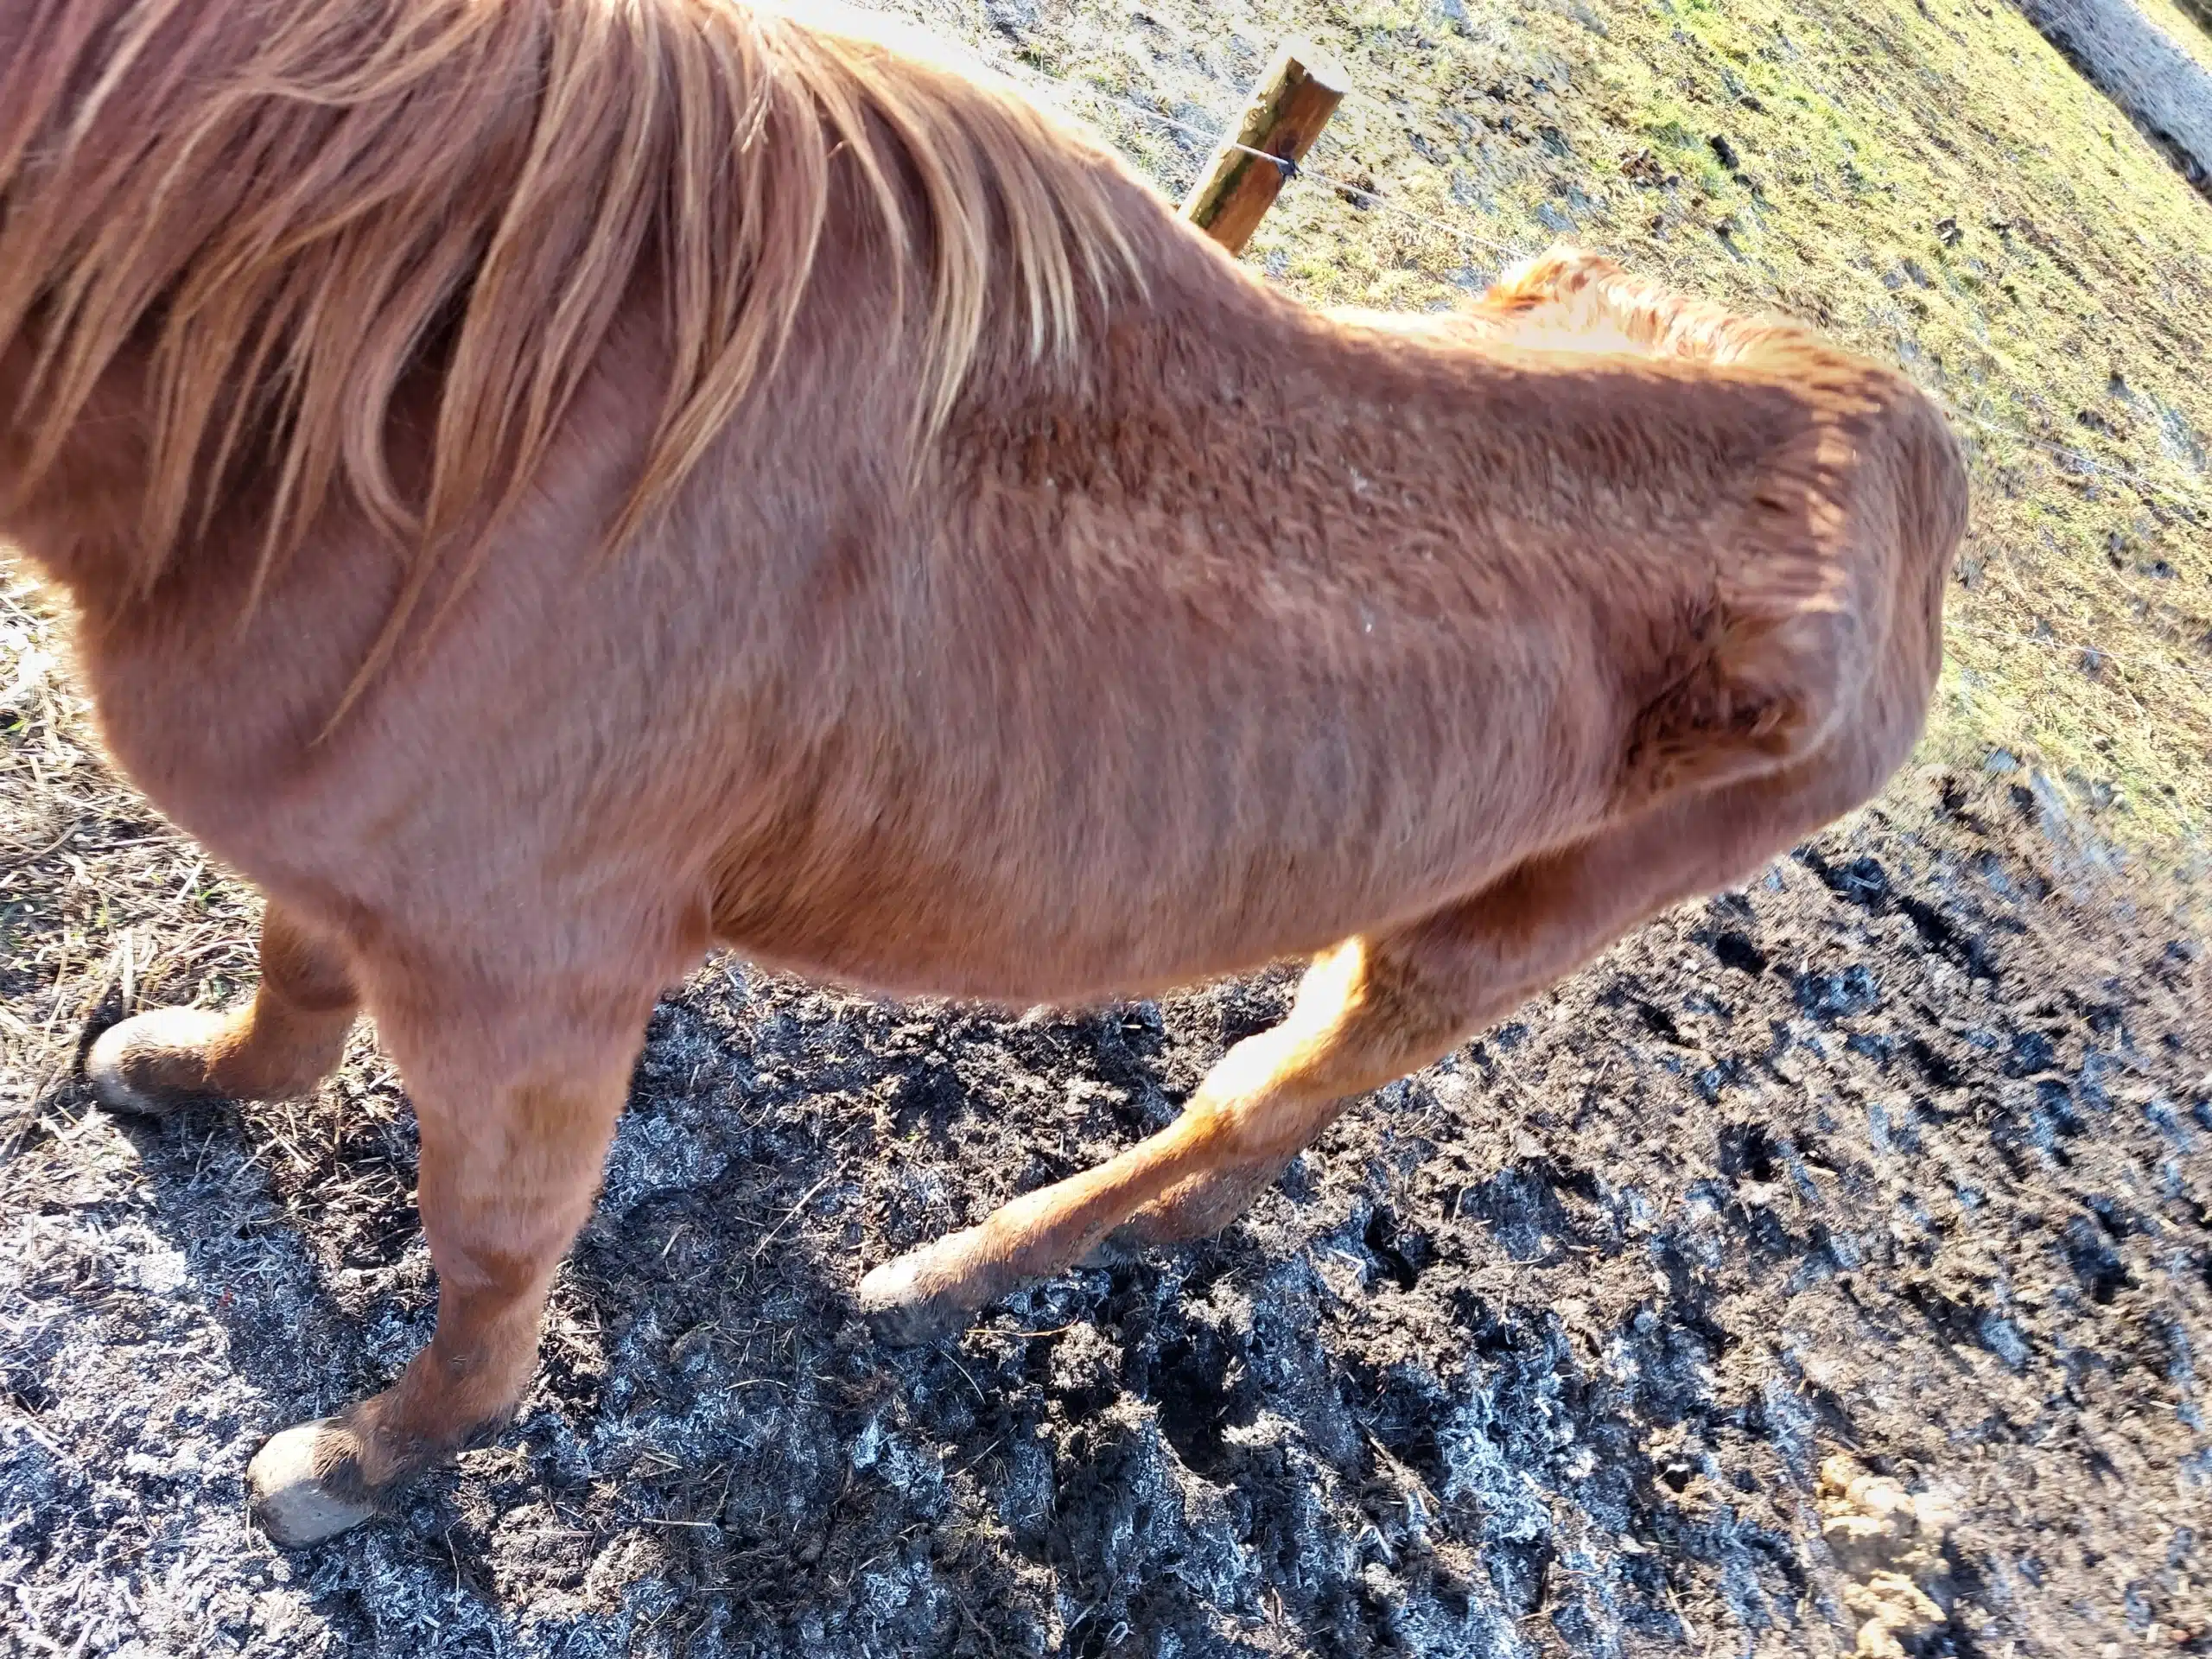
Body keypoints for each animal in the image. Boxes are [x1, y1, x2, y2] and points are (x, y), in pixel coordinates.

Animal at [0, 0, 1967, 1545]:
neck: (460, 388)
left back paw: (934, 1281)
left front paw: (362, 1465)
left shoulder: (531, 980)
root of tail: (1914, 451)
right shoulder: (379, 881)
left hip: (1481, 946)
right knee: (1258, 1134)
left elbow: (489, 1256)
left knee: (1249, 1099)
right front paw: (178, 1074)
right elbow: (291, 986)